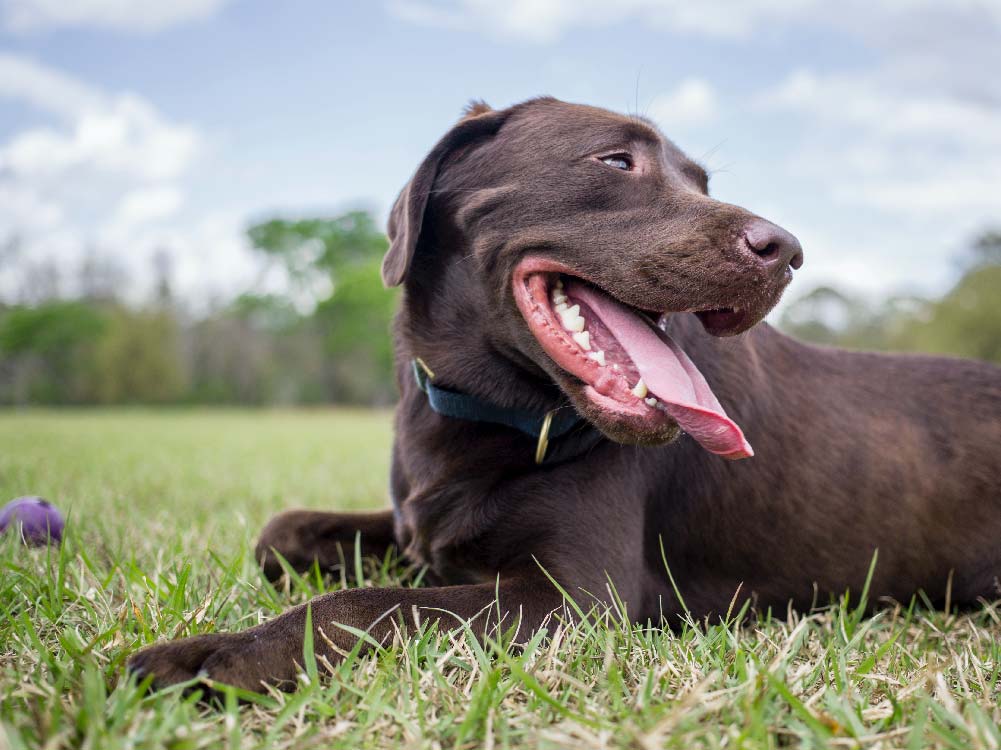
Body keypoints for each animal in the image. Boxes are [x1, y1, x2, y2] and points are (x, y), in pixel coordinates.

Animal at [131, 98, 1001, 688]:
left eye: (700, 181)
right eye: (615, 162)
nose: (785, 251)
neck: (489, 411)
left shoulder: (573, 599)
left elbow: (362, 606)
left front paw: (208, 657)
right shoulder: (422, 529)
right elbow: (282, 531)